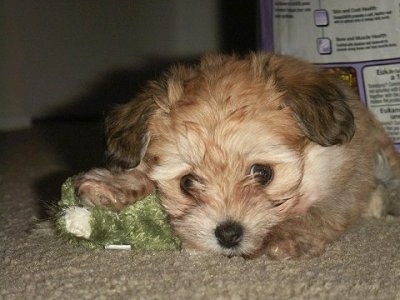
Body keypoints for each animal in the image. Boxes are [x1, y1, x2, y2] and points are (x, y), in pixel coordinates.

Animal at [75, 52, 400, 258]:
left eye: (263, 173)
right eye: (187, 183)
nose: (229, 234)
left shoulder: (346, 172)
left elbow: (325, 209)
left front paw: (292, 235)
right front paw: (115, 184)